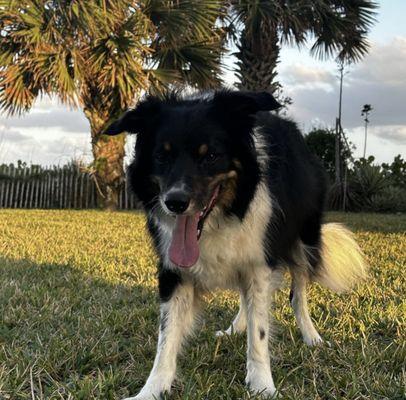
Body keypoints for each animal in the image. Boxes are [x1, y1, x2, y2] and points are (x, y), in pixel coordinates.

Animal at [105, 91, 368, 400]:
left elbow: (260, 331)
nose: (175, 202)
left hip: (304, 239)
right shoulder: (173, 270)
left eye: (211, 156)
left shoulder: (260, 263)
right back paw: (235, 328)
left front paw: (262, 384)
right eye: (161, 155)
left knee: (298, 294)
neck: (224, 214)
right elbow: (166, 335)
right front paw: (152, 389)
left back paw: (311, 336)